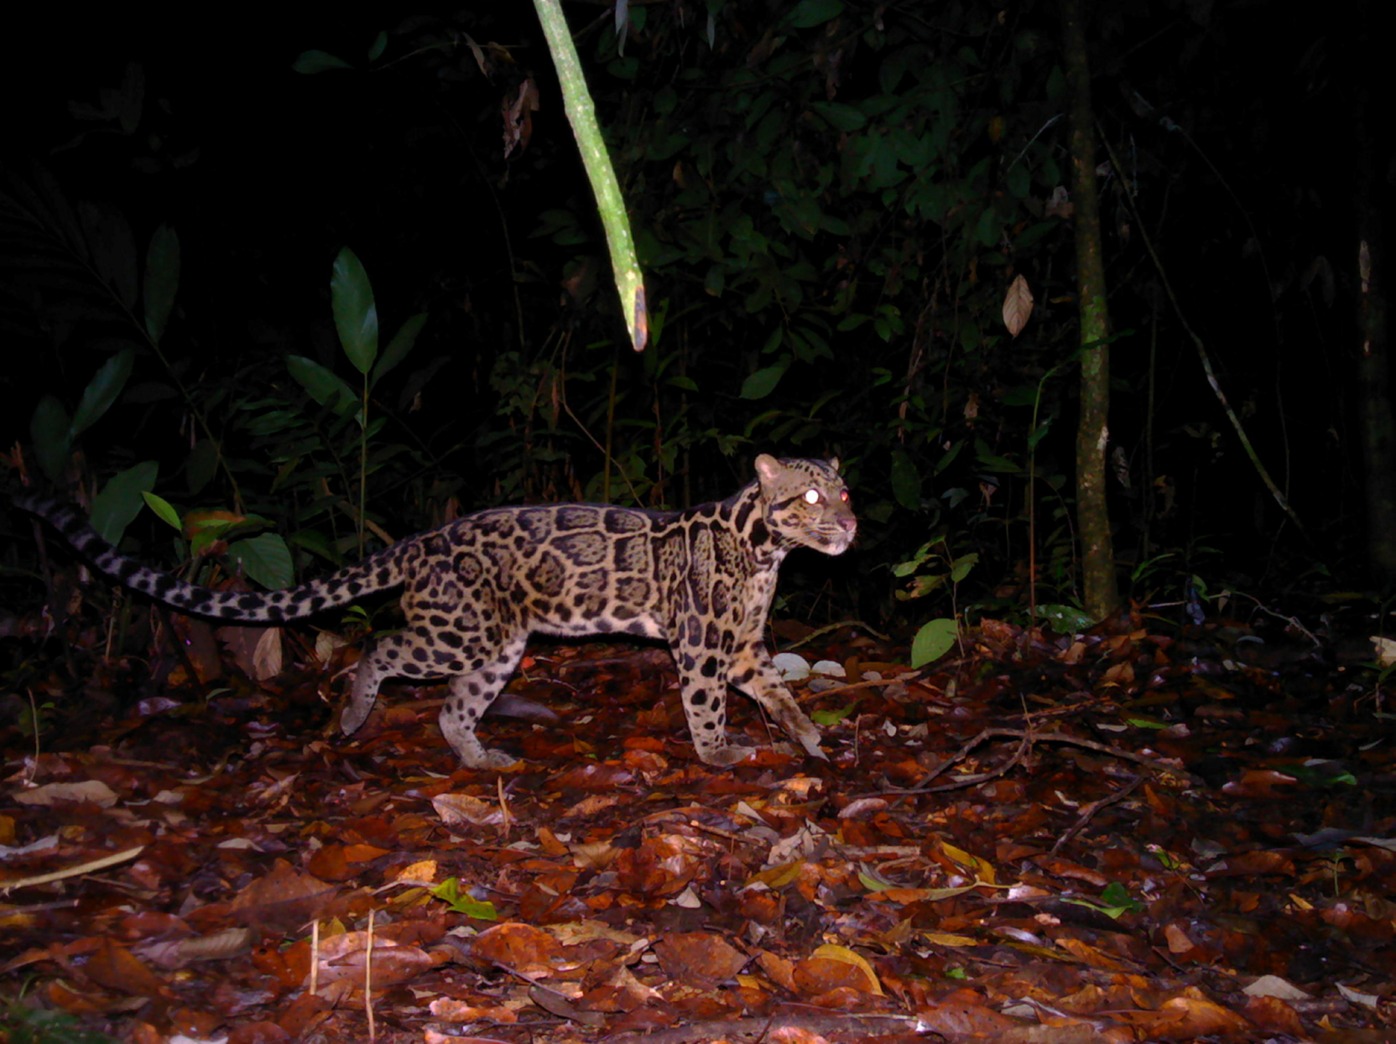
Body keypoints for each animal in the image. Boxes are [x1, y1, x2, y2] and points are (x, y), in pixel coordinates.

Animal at [16, 454, 857, 768]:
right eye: (811, 497)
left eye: (843, 491)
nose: (850, 525)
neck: (767, 551)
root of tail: (421, 541)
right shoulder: (704, 645)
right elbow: (706, 704)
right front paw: (717, 752)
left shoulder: (742, 647)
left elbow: (778, 691)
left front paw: (808, 734)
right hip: (461, 634)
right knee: (382, 647)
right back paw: (355, 713)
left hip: (495, 647)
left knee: (453, 708)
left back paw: (478, 755)